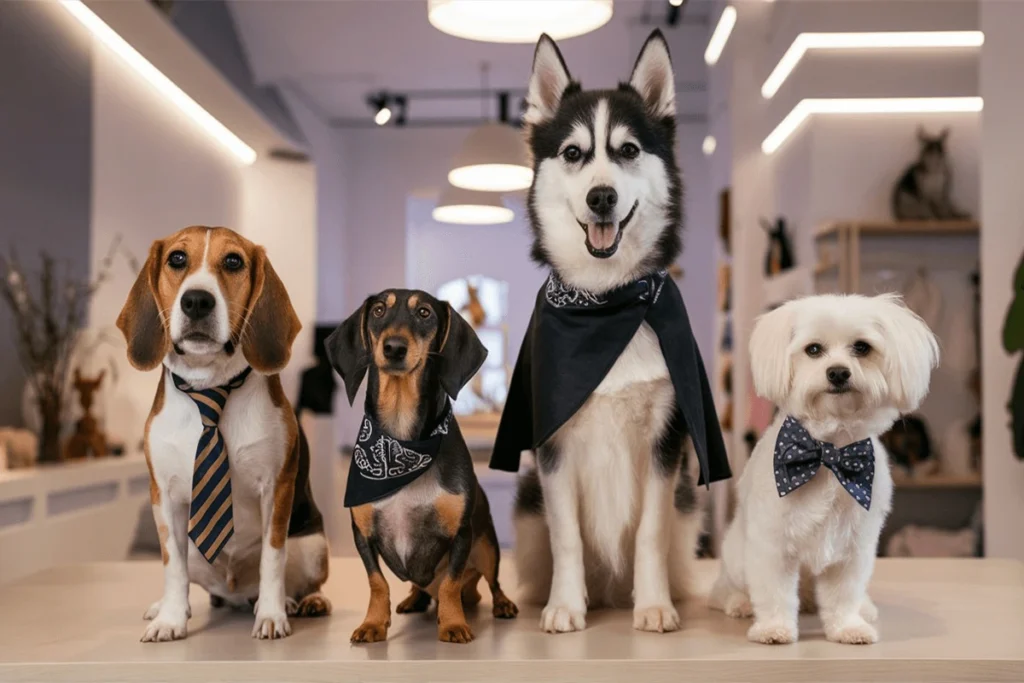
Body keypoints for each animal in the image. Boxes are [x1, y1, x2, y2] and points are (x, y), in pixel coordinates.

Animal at [712, 294, 937, 647]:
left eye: (862, 347)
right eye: (814, 349)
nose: (838, 373)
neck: (830, 452)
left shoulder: (854, 547)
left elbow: (843, 596)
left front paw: (848, 627)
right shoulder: (771, 544)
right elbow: (774, 593)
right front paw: (773, 628)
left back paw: (863, 608)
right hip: (736, 557)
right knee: (723, 589)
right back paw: (739, 602)